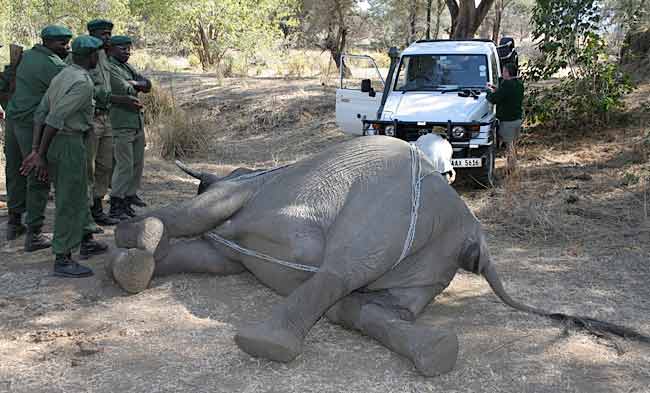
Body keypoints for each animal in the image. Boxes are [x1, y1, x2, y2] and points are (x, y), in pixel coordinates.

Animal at [107, 136, 648, 376]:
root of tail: (471, 233)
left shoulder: (248, 188)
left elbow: (197, 216)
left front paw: (132, 239)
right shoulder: (233, 243)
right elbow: (205, 252)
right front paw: (135, 265)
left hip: (384, 210)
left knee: (343, 271)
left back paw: (265, 345)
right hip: (424, 263)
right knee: (363, 305)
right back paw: (435, 353)